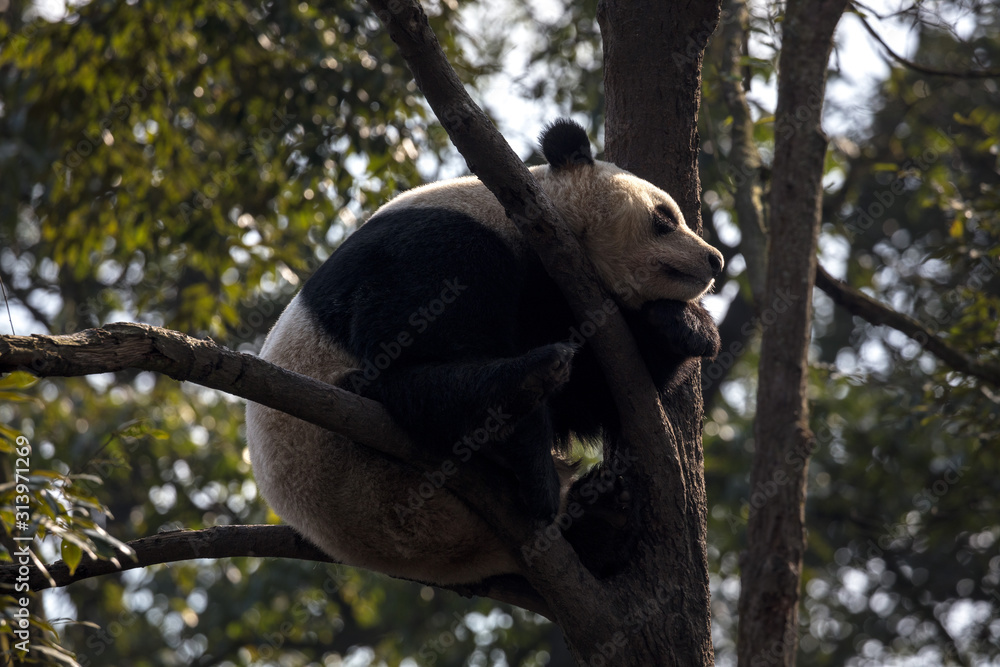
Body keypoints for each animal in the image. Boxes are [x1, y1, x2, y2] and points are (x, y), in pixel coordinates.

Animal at [245, 119, 723, 585]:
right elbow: (407, 346)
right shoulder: (446, 243)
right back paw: (528, 404)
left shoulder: (550, 302)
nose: (715, 260)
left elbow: (588, 393)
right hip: (343, 452)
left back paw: (605, 515)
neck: (535, 223)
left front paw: (685, 326)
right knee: (404, 391)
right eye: (664, 218)